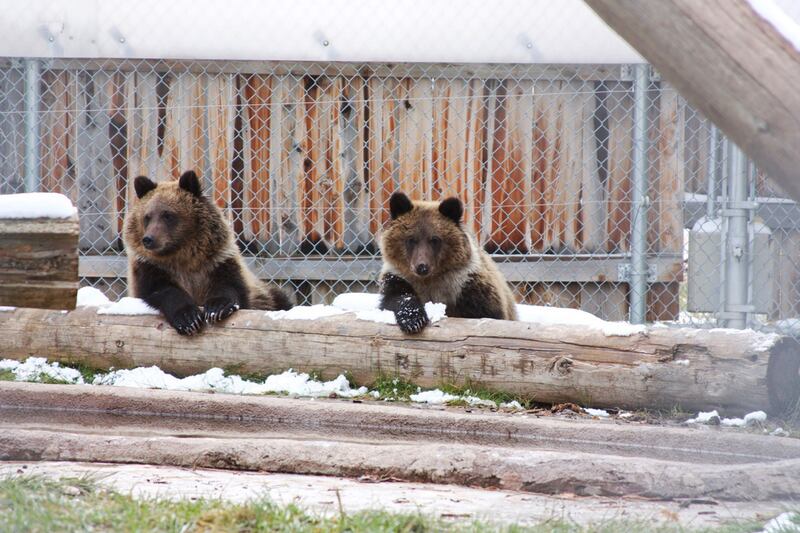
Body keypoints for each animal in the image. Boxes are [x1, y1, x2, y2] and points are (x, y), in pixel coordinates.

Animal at [123, 170, 293, 335]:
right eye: (147, 217)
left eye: (168, 215)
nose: (148, 239)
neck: (183, 254)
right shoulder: (150, 267)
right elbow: (162, 290)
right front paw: (189, 318)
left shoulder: (217, 261)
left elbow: (229, 285)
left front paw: (217, 308)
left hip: (266, 295)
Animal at [378, 191, 518, 333]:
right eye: (411, 239)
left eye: (434, 239)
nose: (422, 267)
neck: (431, 281)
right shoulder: (399, 277)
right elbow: (396, 298)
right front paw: (413, 320)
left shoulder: (466, 285)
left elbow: (486, 312)